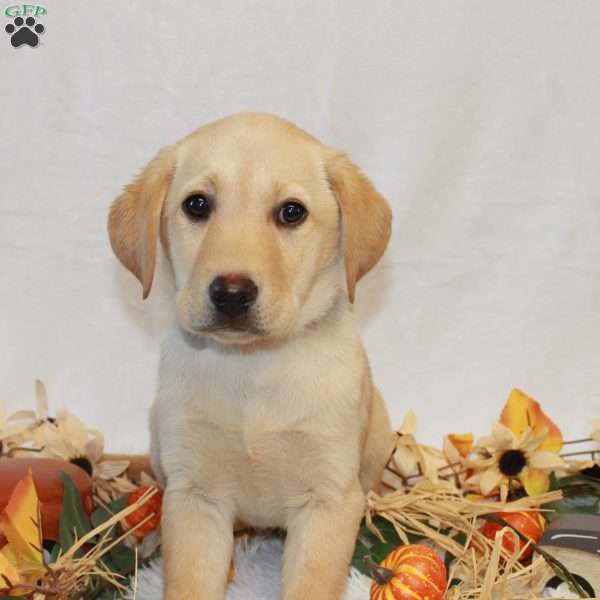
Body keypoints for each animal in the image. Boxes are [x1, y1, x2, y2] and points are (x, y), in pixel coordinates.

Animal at [109, 113, 394, 600]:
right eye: (197, 205)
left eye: (291, 212)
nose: (231, 293)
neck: (252, 366)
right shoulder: (194, 496)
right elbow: (188, 584)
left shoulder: (328, 498)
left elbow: (312, 586)